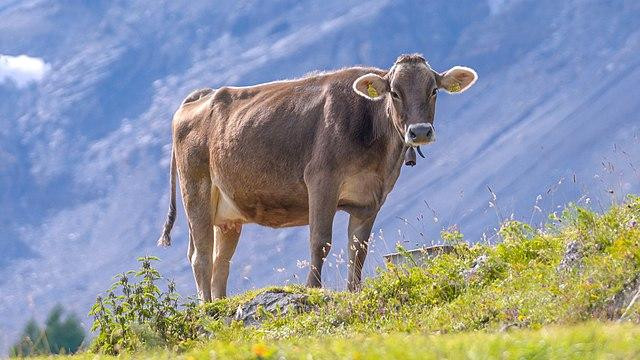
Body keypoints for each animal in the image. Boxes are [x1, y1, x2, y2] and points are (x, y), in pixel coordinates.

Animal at [158, 53, 478, 300]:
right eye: (395, 92)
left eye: (433, 90)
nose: (420, 131)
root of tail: (201, 96)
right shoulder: (322, 181)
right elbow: (320, 241)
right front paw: (313, 289)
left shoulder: (371, 198)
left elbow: (358, 247)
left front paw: (353, 291)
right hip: (196, 189)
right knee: (201, 256)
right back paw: (207, 308)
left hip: (228, 214)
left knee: (220, 261)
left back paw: (221, 303)